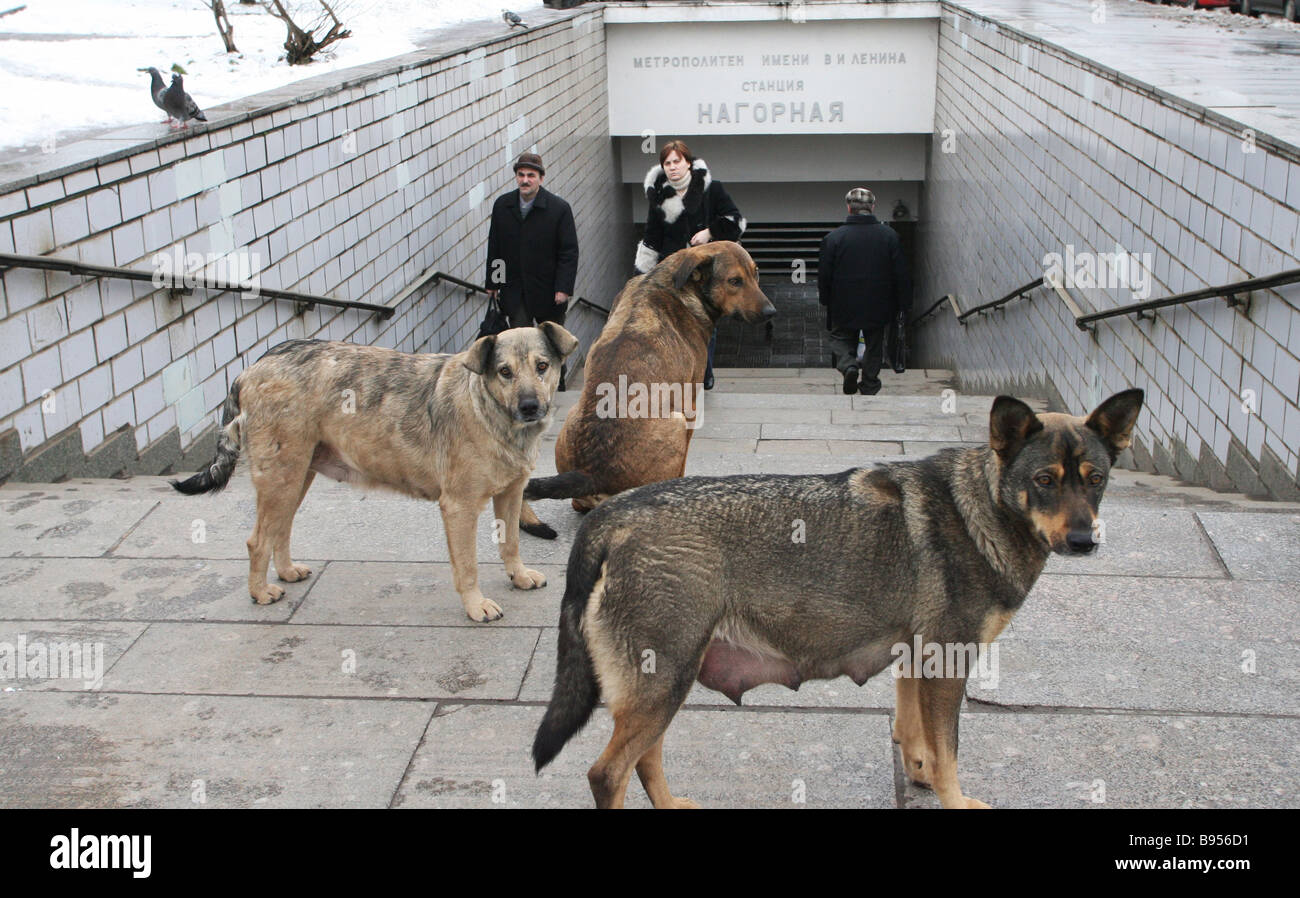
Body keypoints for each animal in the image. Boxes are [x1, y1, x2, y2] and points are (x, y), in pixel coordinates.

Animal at [170, 324, 577, 626]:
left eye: (542, 366)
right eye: (504, 372)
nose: (530, 406)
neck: (488, 410)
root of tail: (250, 368)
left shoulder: (510, 493)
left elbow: (511, 543)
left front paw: (518, 576)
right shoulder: (459, 507)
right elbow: (468, 566)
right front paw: (476, 605)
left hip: (297, 475)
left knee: (279, 530)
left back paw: (285, 572)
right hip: (281, 477)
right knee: (257, 540)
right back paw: (259, 592)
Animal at [517, 239, 774, 538]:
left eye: (756, 274)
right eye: (734, 281)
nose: (771, 313)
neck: (668, 281)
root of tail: (590, 473)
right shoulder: (689, 403)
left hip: (571, 417)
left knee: (577, 504)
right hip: (676, 422)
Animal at [527, 387, 1138, 805]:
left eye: (1096, 480)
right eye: (1044, 481)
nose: (1084, 541)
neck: (981, 507)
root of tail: (611, 514)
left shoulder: (917, 659)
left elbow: (915, 739)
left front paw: (917, 777)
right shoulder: (948, 663)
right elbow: (948, 753)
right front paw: (954, 799)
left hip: (662, 684)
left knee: (645, 758)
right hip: (664, 680)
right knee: (608, 773)